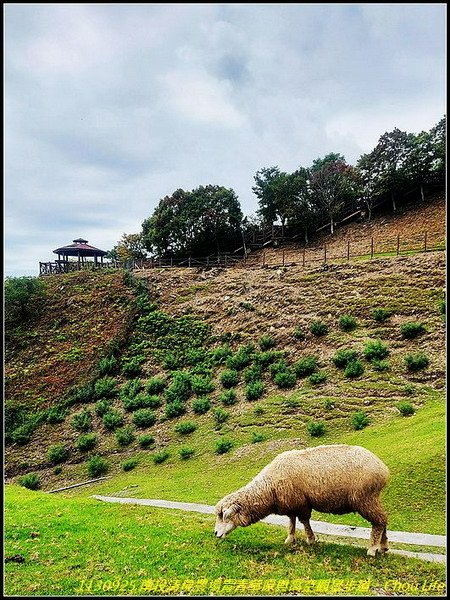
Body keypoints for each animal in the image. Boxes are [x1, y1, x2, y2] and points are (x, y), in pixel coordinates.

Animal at [214, 442, 390, 556]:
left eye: (225, 516)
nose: (215, 533)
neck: (269, 488)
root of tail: (383, 469)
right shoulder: (291, 503)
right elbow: (291, 521)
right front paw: (290, 538)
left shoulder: (301, 503)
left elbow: (304, 521)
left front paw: (310, 540)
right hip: (372, 498)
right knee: (383, 519)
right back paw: (383, 546)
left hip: (365, 498)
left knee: (379, 521)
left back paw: (372, 549)